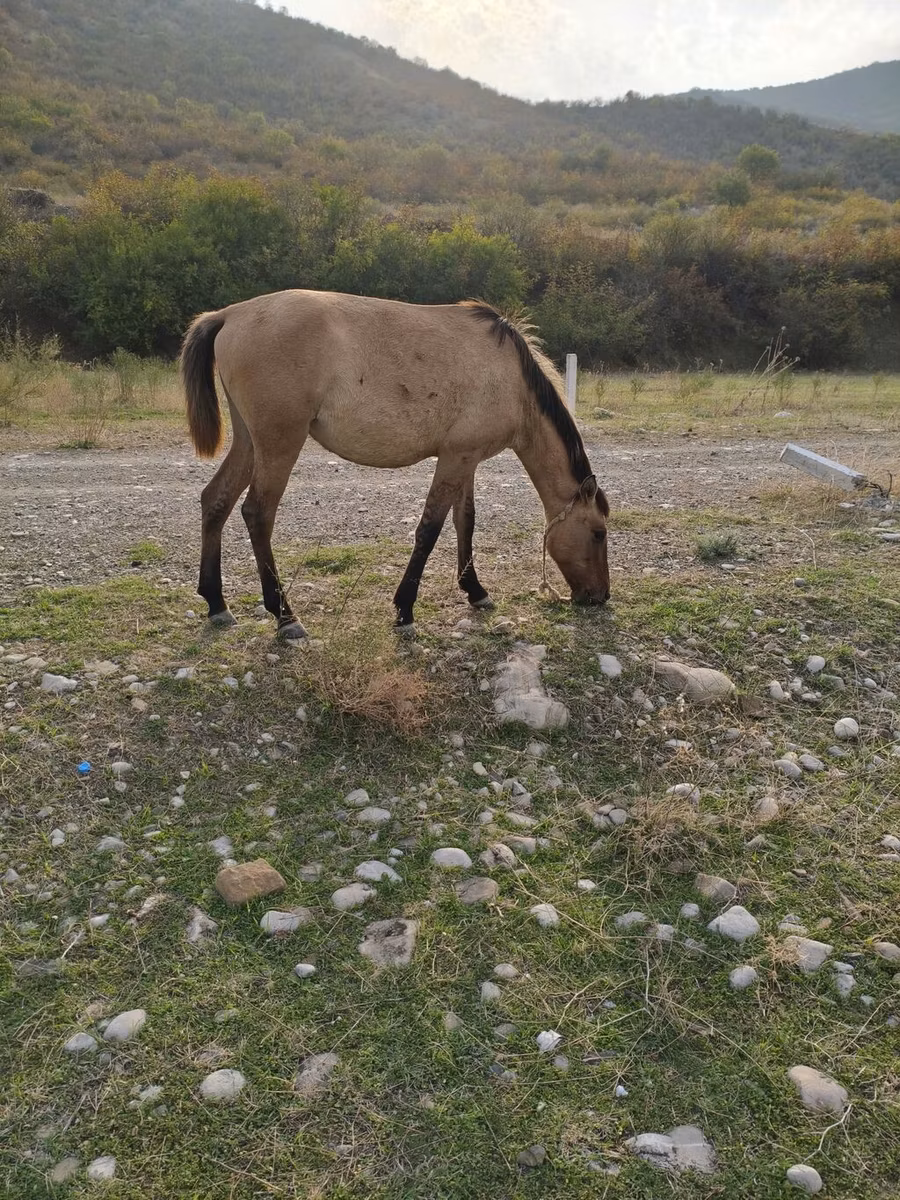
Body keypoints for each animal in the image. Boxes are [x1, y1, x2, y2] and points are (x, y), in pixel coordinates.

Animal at [179, 289, 610, 638]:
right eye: (598, 533)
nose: (600, 596)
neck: (511, 379)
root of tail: (229, 314)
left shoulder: (465, 459)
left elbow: (465, 521)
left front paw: (476, 591)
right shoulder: (455, 460)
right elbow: (430, 529)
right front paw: (405, 610)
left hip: (249, 442)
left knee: (215, 500)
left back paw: (216, 604)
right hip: (279, 442)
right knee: (257, 514)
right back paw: (285, 615)